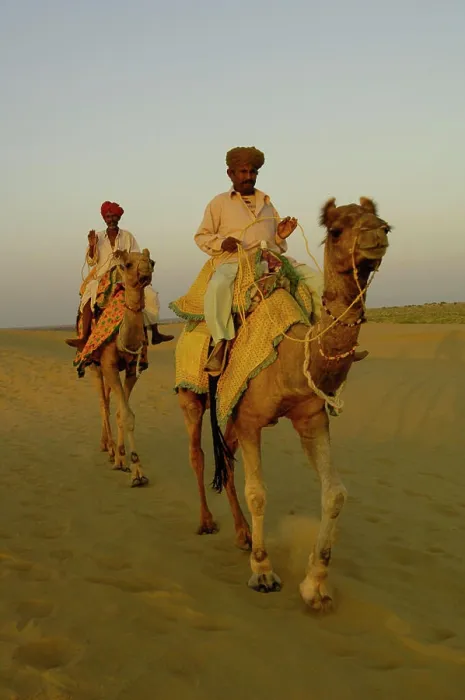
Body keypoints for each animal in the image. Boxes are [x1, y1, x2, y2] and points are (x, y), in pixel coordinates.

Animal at [88, 248, 154, 487]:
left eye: (152, 261)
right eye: (127, 264)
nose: (146, 270)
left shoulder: (132, 369)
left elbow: (123, 413)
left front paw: (123, 458)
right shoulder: (109, 365)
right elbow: (123, 414)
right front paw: (136, 472)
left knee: (108, 400)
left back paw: (110, 448)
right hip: (95, 367)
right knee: (102, 403)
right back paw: (107, 447)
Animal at [178, 197, 390, 610]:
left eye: (384, 224)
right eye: (337, 229)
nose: (378, 234)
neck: (291, 355)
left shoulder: (310, 418)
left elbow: (335, 493)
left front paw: (316, 583)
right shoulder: (250, 420)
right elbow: (258, 493)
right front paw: (262, 572)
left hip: (228, 408)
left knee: (226, 457)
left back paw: (242, 534)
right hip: (191, 396)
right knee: (197, 453)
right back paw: (207, 522)